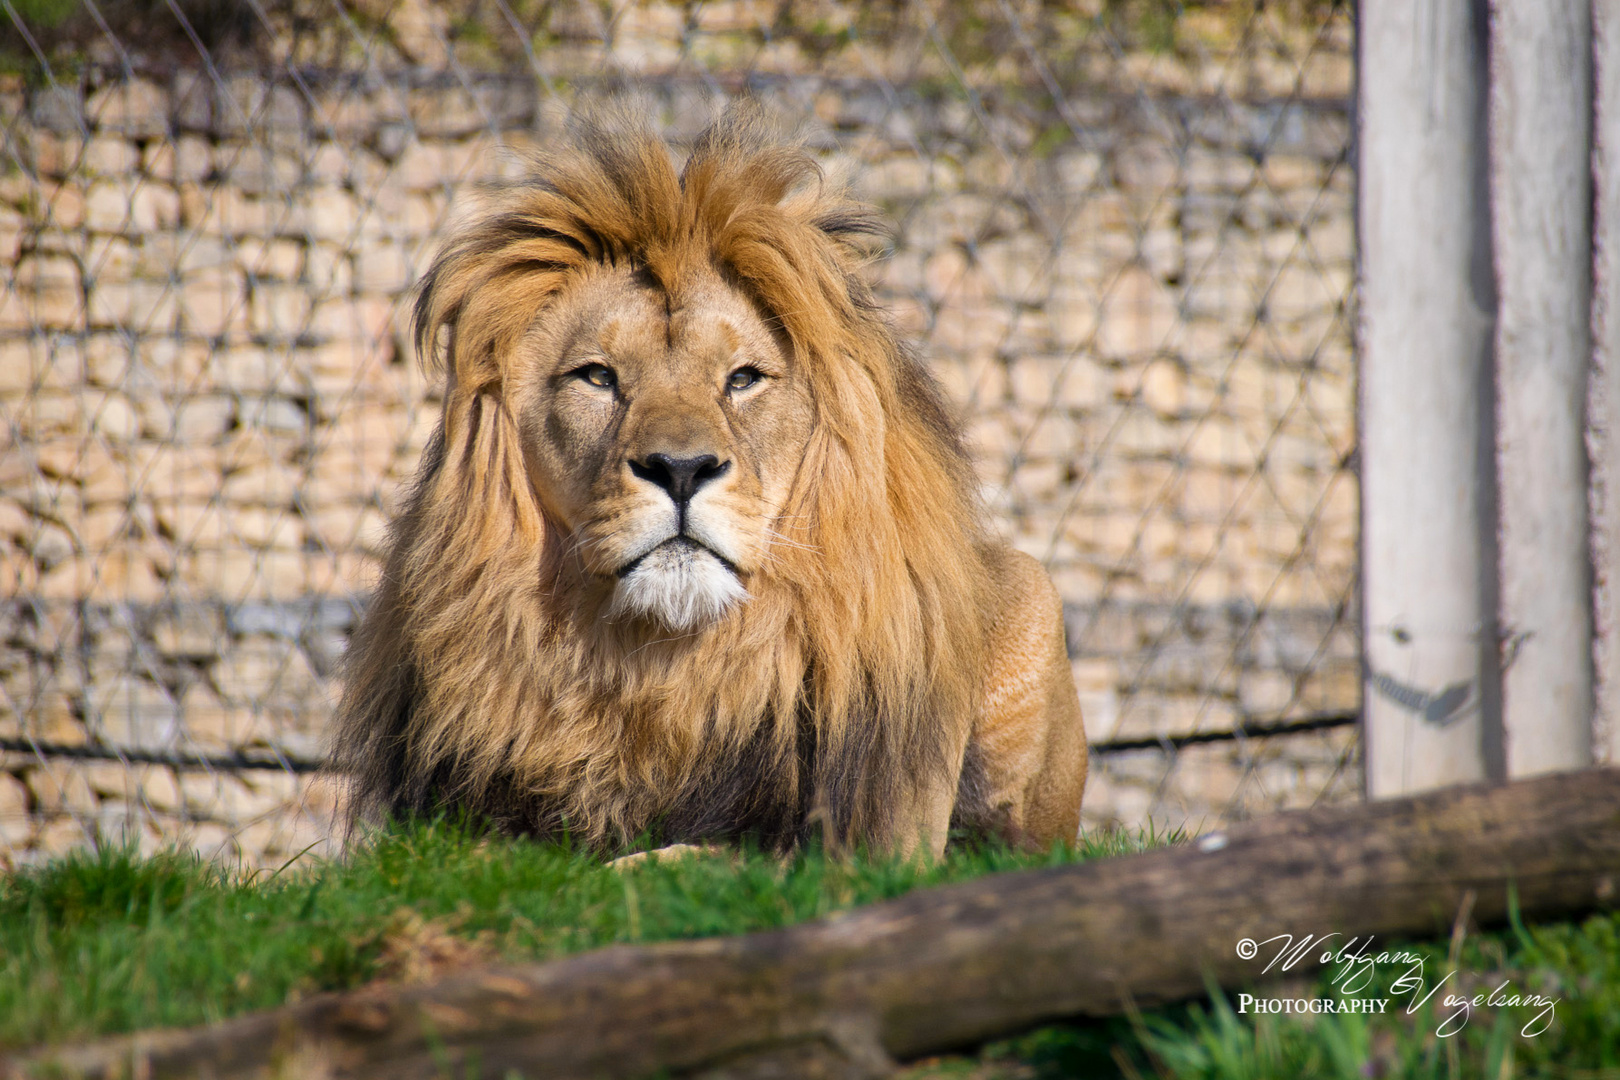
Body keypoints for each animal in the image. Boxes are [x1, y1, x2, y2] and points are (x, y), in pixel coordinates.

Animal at [328, 105, 1088, 854]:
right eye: (598, 377)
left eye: (743, 379)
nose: (681, 468)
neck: (660, 666)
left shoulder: (866, 839)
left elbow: (674, 857)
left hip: (1033, 595)